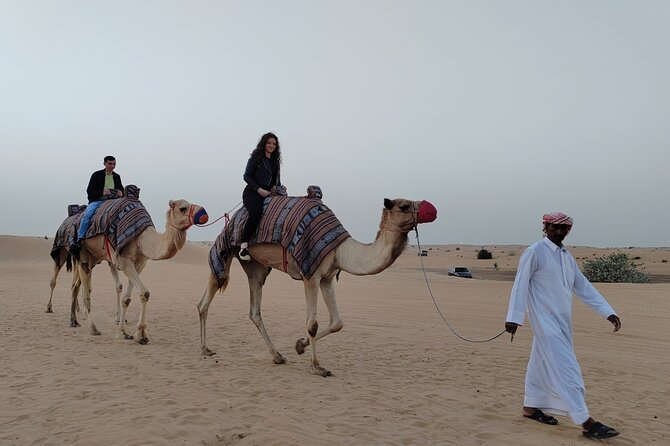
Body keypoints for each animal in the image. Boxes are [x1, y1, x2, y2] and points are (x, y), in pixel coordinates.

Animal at [63, 198, 208, 344]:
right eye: (183, 208)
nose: (204, 213)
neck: (141, 239)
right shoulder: (123, 261)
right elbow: (144, 292)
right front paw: (140, 334)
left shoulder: (140, 263)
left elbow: (127, 298)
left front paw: (127, 332)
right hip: (83, 255)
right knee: (85, 292)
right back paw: (91, 328)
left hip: (94, 257)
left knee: (82, 287)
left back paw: (75, 321)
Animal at [197, 197, 437, 376]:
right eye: (404, 205)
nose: (431, 209)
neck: (341, 250)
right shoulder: (310, 275)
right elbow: (312, 324)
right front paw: (317, 367)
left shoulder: (327, 278)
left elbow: (337, 323)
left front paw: (299, 346)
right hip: (226, 248)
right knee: (207, 298)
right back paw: (205, 349)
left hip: (256, 267)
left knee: (254, 311)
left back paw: (278, 356)